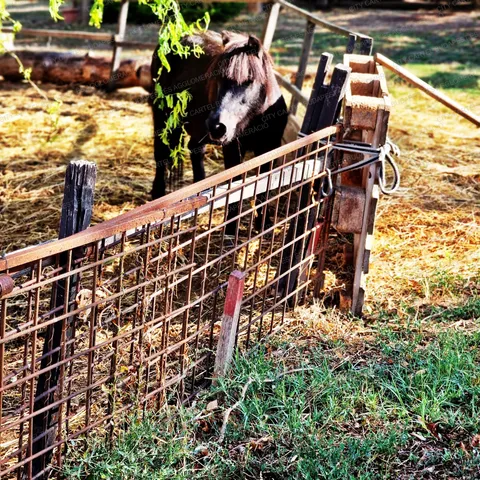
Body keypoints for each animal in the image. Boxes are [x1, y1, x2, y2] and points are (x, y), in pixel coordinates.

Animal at [149, 30, 288, 232]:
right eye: (218, 78)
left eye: (249, 81)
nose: (217, 126)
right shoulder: (232, 148)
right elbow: (236, 183)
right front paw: (231, 227)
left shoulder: (270, 148)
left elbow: (265, 183)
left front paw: (264, 224)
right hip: (163, 118)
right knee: (161, 155)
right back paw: (158, 195)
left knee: (195, 150)